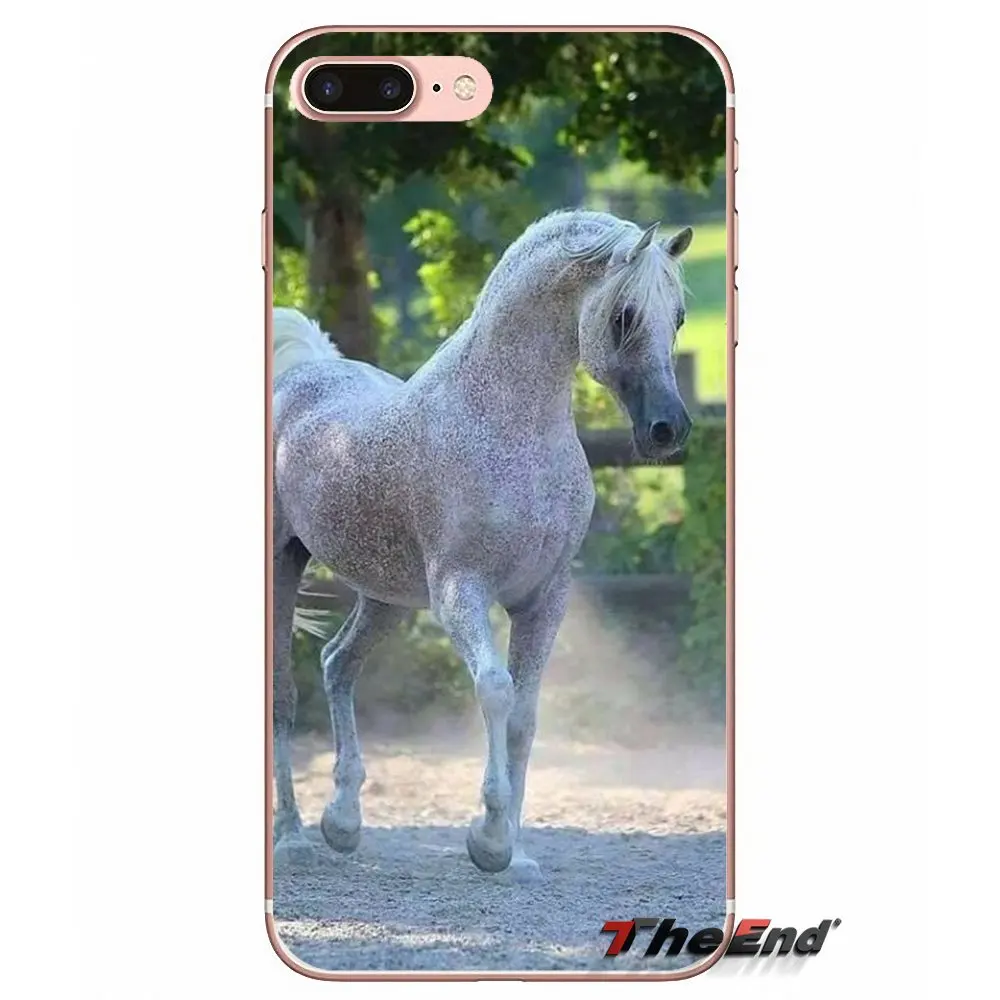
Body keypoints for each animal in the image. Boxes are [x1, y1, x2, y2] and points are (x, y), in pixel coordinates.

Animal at [272, 209, 694, 882]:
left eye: (677, 316)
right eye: (624, 315)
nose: (668, 429)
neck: (503, 423)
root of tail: (301, 373)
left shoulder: (545, 598)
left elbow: (524, 713)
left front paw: (514, 852)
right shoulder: (459, 591)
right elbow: (495, 689)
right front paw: (489, 838)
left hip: (385, 596)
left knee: (338, 664)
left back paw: (342, 822)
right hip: (285, 565)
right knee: (284, 697)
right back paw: (292, 837)